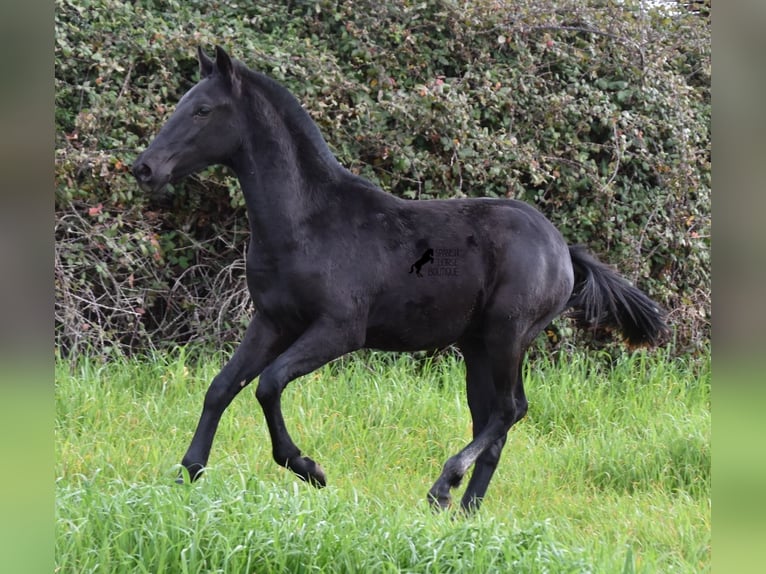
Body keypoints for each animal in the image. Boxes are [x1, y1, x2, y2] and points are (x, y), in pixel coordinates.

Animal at [132, 46, 664, 512]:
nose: (145, 168)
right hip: (476, 345)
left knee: (510, 410)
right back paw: (465, 512)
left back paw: (443, 487)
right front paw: (187, 473)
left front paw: (309, 468)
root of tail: (564, 251)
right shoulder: (272, 321)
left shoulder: (340, 330)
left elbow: (269, 383)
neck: (307, 222)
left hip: (508, 334)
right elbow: (222, 386)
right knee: (491, 418)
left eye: (202, 110)